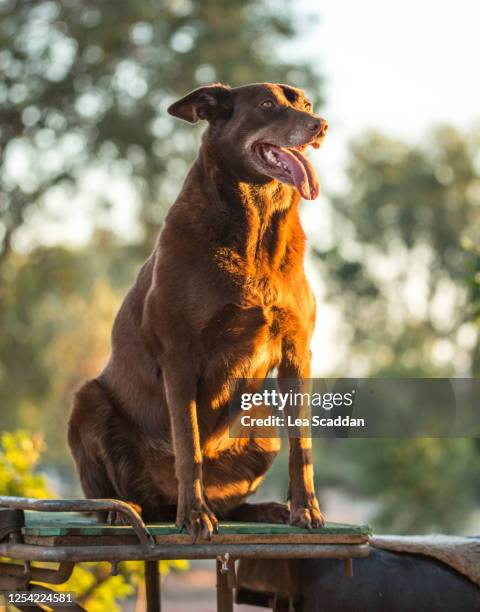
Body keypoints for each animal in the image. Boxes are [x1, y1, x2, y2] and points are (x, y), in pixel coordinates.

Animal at [67, 82, 328, 540]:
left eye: (306, 103)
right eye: (267, 104)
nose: (321, 125)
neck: (256, 229)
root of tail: (160, 501)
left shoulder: (297, 351)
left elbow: (303, 445)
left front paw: (306, 509)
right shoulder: (179, 356)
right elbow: (188, 445)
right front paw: (194, 516)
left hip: (263, 423)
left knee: (231, 502)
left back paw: (262, 510)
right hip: (88, 402)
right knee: (109, 496)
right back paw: (125, 510)